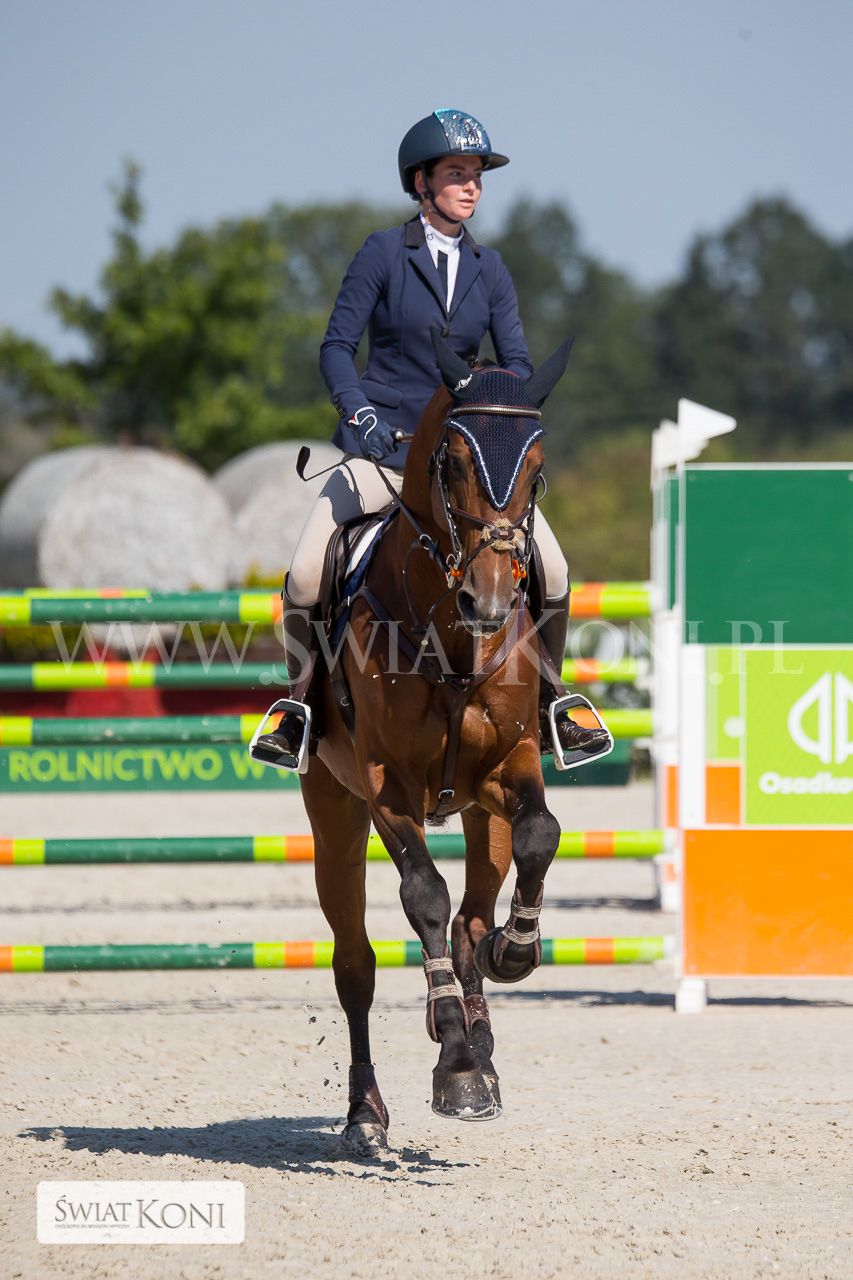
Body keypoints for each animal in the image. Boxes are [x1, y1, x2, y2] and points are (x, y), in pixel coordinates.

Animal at [298, 335, 574, 1155]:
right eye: (449, 464)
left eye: (537, 468)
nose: (490, 600)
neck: (450, 636)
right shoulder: (385, 787)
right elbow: (422, 894)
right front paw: (453, 1063)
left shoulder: (510, 766)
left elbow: (541, 834)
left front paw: (515, 955)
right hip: (334, 813)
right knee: (355, 963)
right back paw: (368, 1112)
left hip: (478, 810)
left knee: (471, 917)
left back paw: (482, 1021)